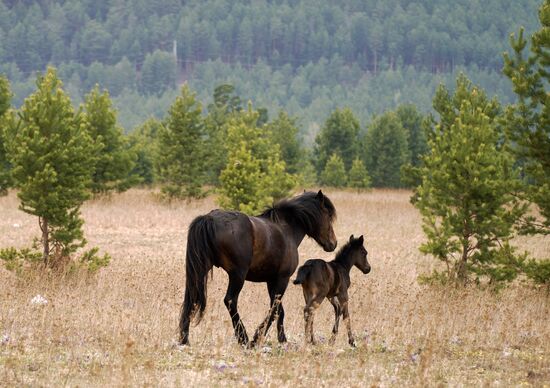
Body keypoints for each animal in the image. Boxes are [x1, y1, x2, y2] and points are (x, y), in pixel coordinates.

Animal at [179, 191, 338, 346]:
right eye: (328, 215)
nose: (333, 244)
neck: (286, 230)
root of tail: (209, 218)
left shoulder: (271, 281)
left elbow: (279, 310)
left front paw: (281, 338)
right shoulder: (282, 279)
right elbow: (275, 308)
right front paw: (257, 337)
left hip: (201, 271)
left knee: (192, 298)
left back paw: (184, 338)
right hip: (238, 275)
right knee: (230, 300)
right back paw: (243, 338)